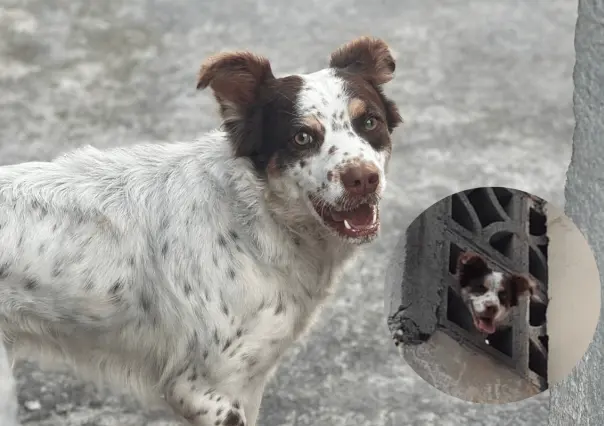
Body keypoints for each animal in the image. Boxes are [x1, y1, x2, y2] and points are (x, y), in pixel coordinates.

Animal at [1, 37, 406, 426]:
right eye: (302, 137)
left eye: (369, 122)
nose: (363, 178)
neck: (252, 218)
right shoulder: (199, 390)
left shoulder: (248, 383)